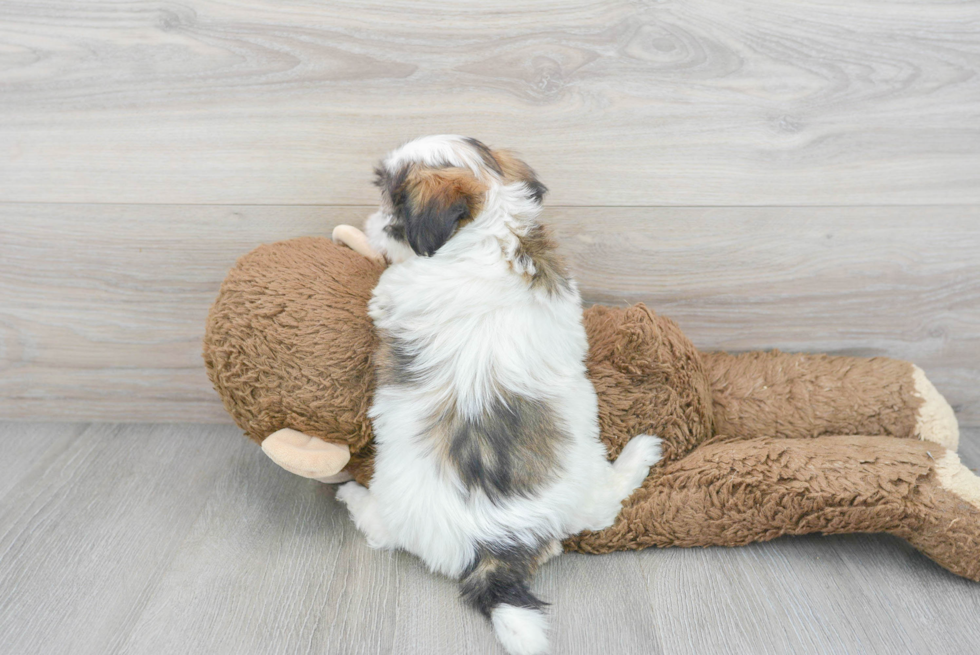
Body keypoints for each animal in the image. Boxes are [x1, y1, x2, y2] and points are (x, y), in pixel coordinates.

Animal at [338, 135, 668, 655]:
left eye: (391, 207)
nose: (370, 225)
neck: (490, 231)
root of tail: (493, 543)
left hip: (397, 501)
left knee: (382, 530)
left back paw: (351, 494)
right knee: (601, 511)